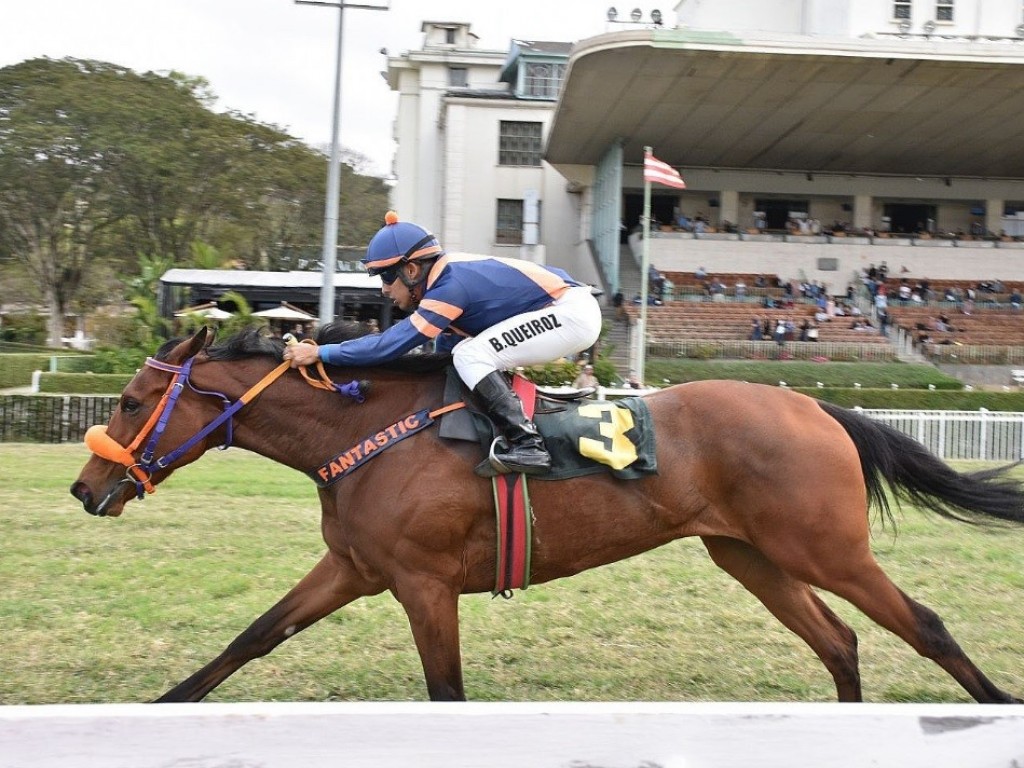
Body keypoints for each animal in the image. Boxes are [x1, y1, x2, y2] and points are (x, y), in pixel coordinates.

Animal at [72, 325, 1024, 704]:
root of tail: (818, 408)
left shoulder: (423, 584)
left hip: (827, 548)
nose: (86, 489)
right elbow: (252, 637)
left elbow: (447, 691)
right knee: (840, 643)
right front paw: (165, 704)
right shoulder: (356, 569)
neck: (365, 431)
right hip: (749, 555)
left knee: (924, 625)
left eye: (128, 403)